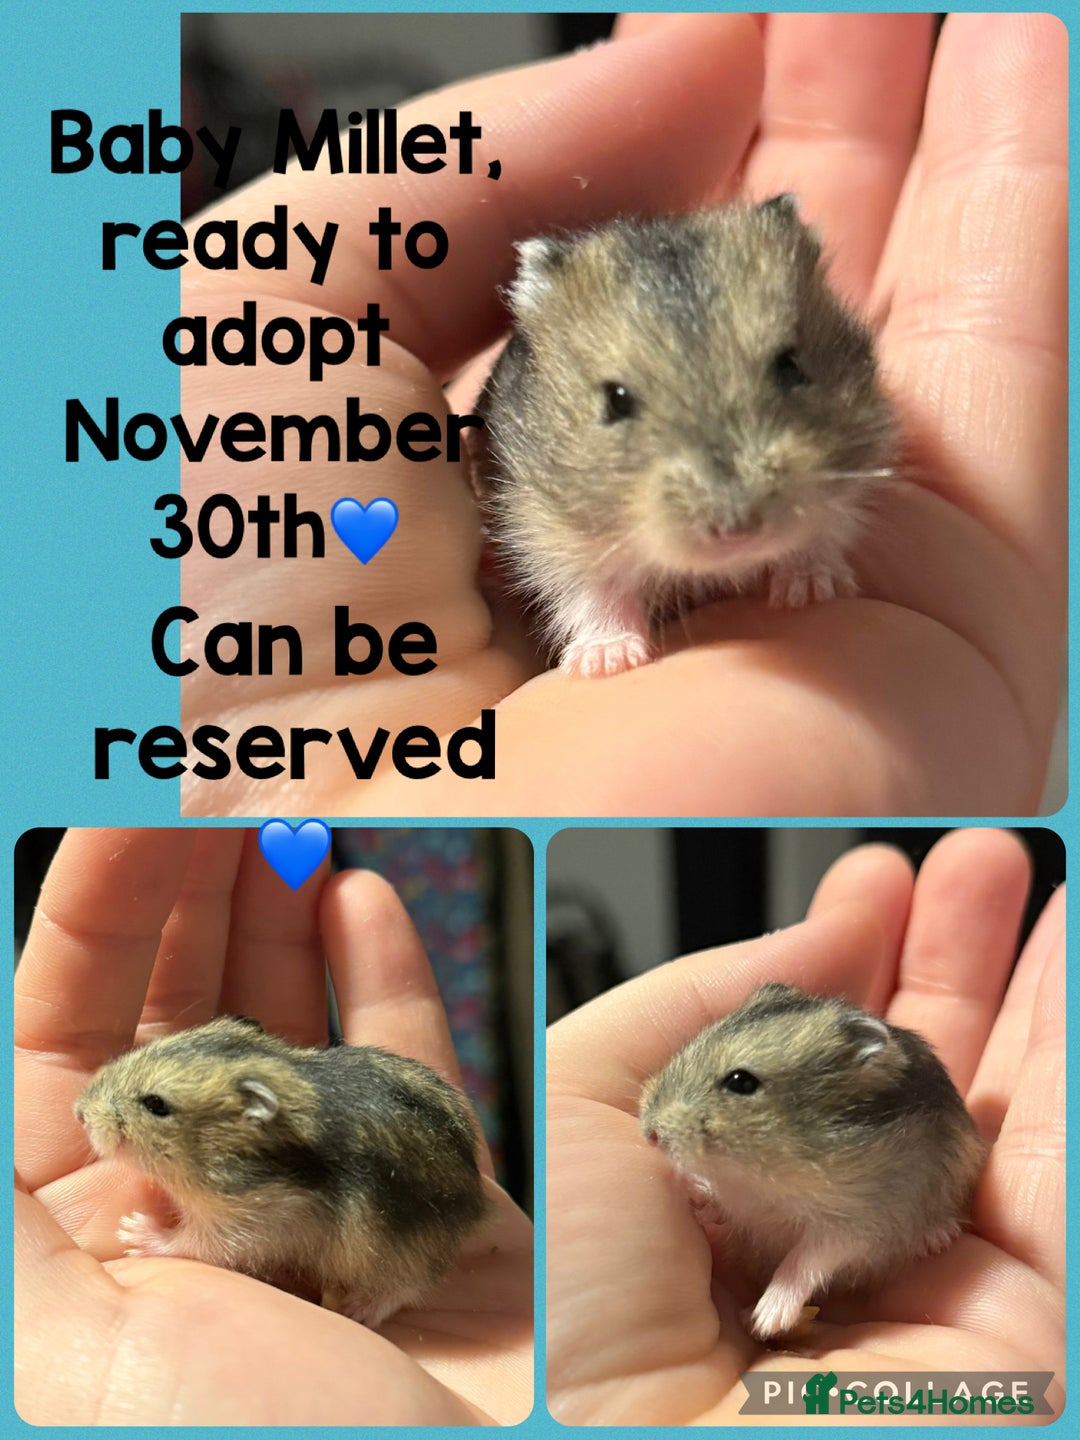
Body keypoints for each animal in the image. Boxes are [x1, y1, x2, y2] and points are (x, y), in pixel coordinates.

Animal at [74, 1015, 488, 1328]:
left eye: (156, 1104)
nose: (79, 1112)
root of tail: (476, 1204)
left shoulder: (248, 1221)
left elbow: (190, 1241)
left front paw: (132, 1229)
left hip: (404, 1254)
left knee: (406, 1286)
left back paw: (358, 1309)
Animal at [476, 198, 895, 677]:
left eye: (791, 367)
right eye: (616, 400)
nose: (738, 531)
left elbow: (822, 532)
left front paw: (809, 592)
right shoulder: (548, 528)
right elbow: (596, 593)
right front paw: (607, 663)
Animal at [639, 983, 986, 1343]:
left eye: (740, 1082)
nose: (649, 1133)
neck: (764, 1172)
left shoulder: (858, 1222)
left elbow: (805, 1259)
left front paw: (767, 1318)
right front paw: (694, 1192)